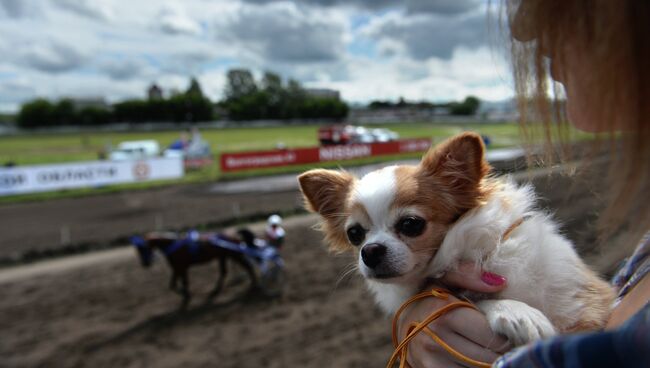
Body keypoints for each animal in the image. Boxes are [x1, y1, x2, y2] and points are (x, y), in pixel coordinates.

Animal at [298, 132, 612, 344]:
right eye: (354, 234)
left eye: (411, 224)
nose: (371, 250)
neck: (468, 251)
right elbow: (471, 298)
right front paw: (515, 310)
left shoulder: (586, 301)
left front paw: (515, 309)